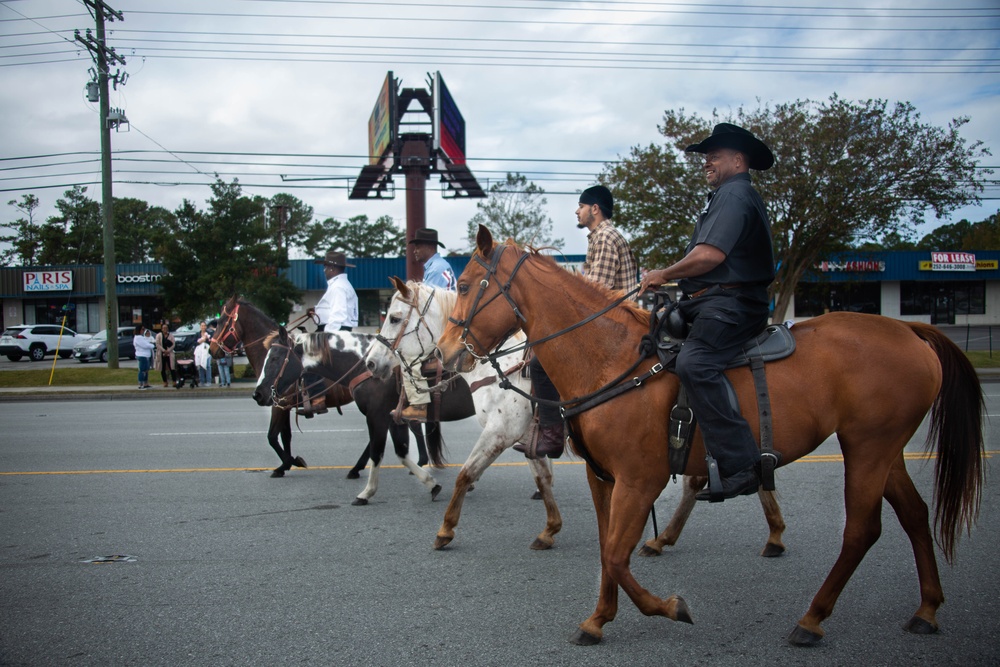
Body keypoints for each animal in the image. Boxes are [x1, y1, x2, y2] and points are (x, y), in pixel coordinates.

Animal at [438, 227, 984, 648]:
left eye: (463, 284)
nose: (443, 355)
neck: (612, 359)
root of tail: (910, 332)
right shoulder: (604, 478)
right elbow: (606, 551)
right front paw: (599, 619)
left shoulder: (641, 479)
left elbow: (615, 554)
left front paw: (668, 607)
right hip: (883, 450)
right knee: (915, 515)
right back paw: (926, 609)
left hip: (868, 450)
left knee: (861, 531)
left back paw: (811, 619)